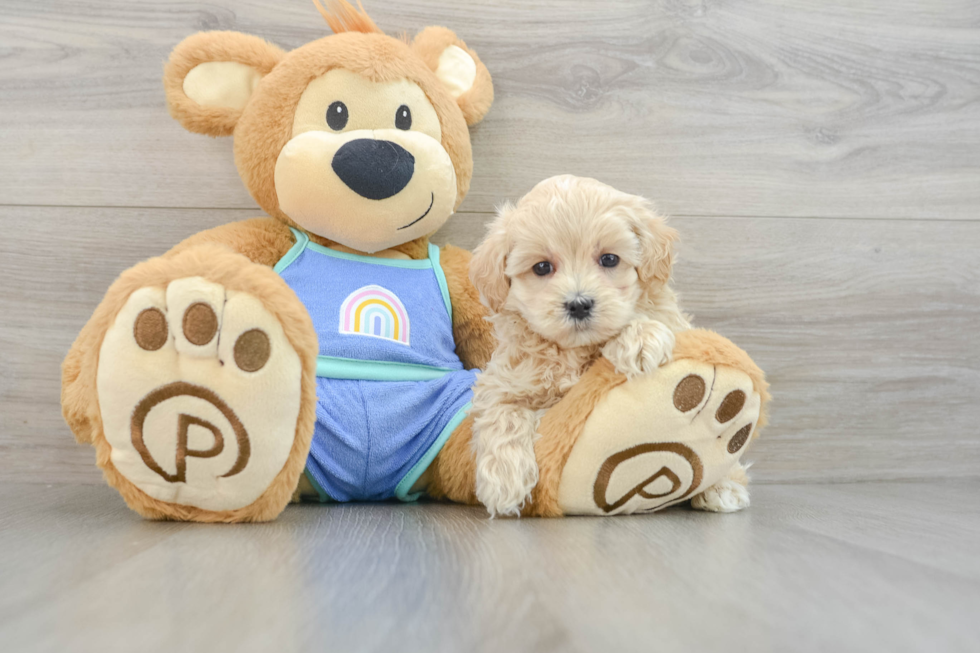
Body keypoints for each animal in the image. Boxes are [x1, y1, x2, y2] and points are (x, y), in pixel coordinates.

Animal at [472, 176, 688, 516]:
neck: (573, 351)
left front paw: (640, 337)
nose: (579, 304)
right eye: (542, 267)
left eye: (609, 259)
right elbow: (503, 414)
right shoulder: (501, 383)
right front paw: (504, 483)